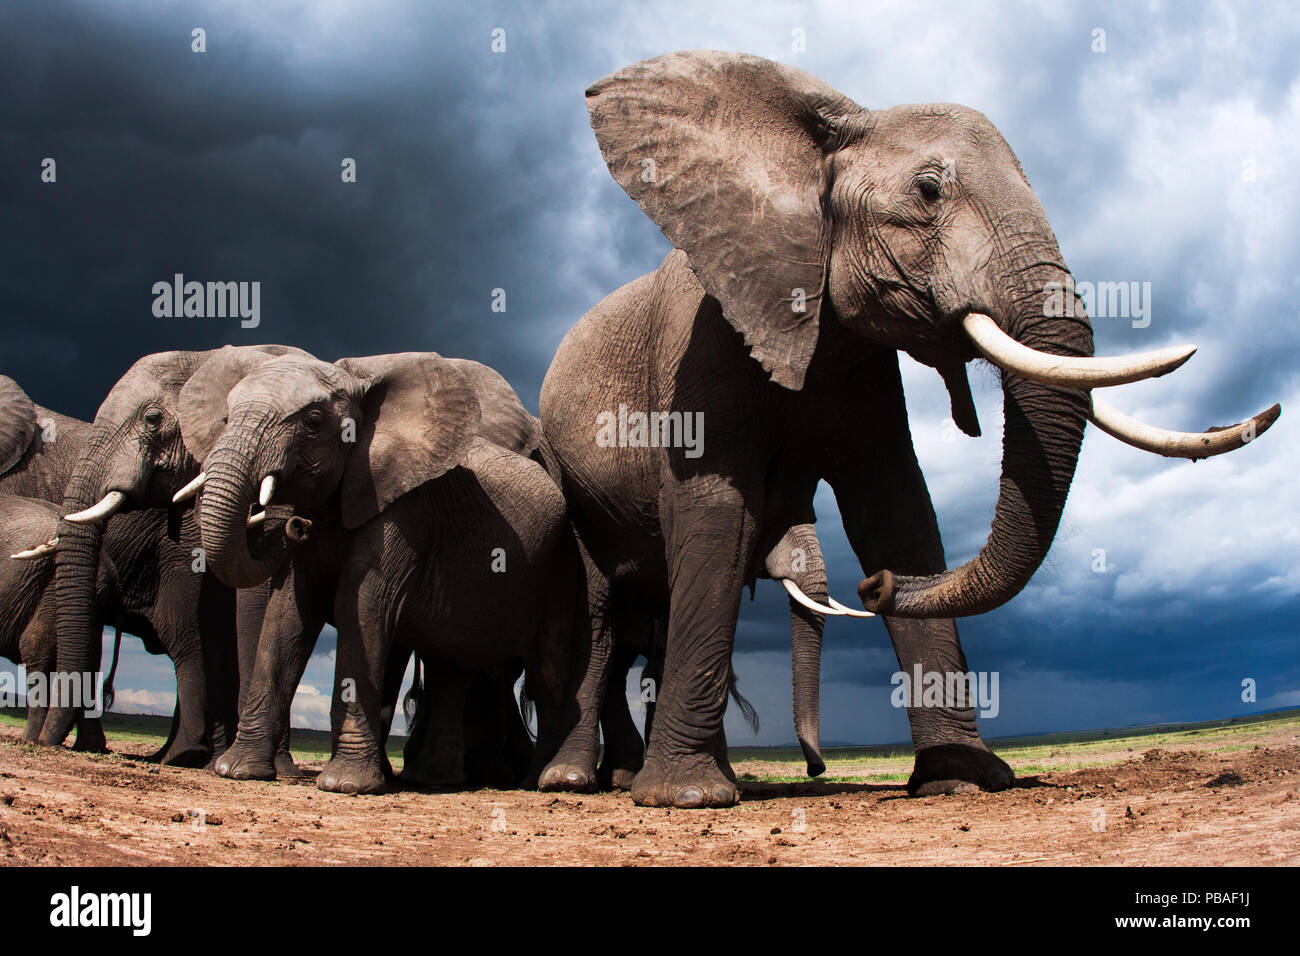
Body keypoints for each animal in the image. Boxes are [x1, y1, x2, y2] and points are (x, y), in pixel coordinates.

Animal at [535, 46, 1279, 806]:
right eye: (928, 191)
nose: (874, 588)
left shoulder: (864, 363)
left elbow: (894, 508)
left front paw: (964, 779)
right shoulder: (702, 340)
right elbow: (715, 511)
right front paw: (687, 797)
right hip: (568, 479)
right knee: (600, 617)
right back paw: (577, 782)